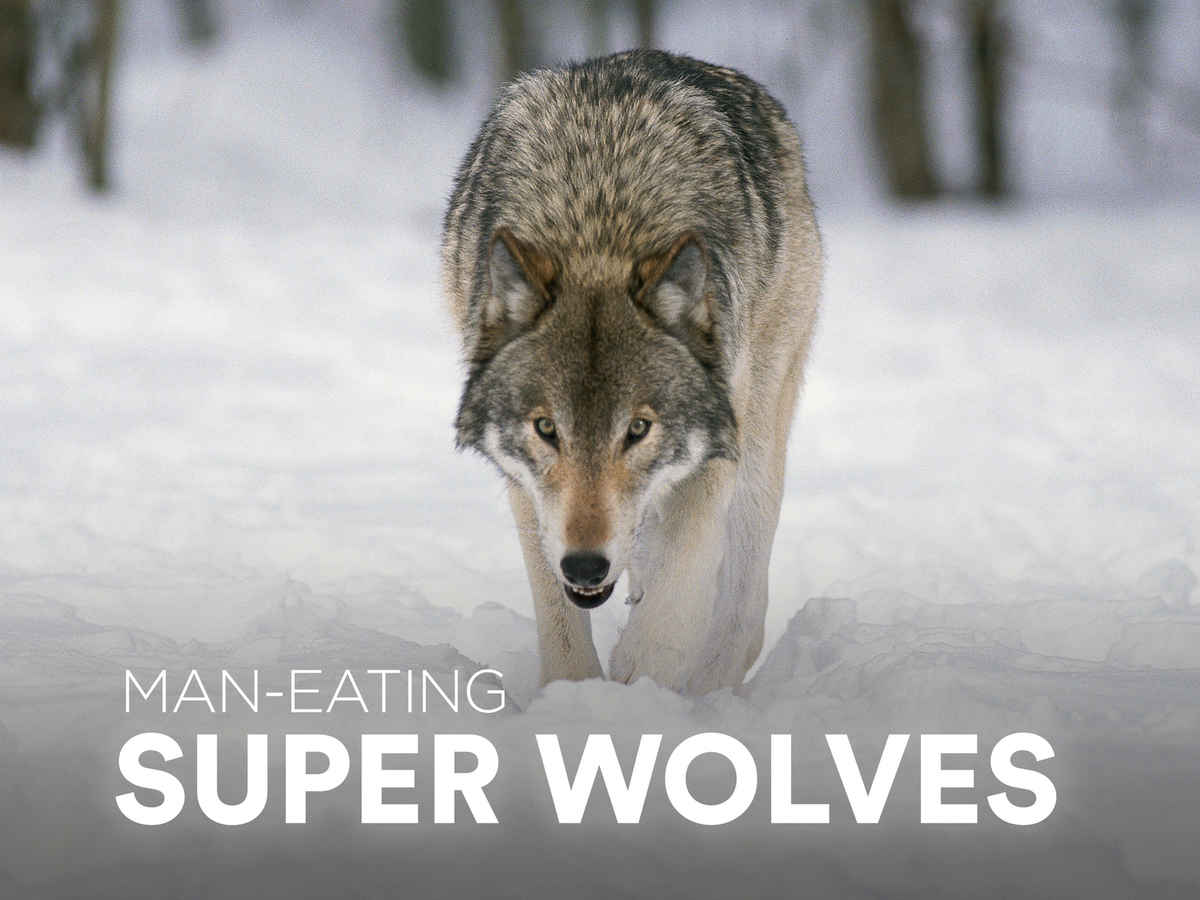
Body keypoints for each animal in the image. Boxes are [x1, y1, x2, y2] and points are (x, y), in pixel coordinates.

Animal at [441, 50, 821, 694]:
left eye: (638, 429)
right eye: (547, 429)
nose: (585, 563)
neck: (600, 222)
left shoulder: (714, 455)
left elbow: (670, 614)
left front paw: (637, 694)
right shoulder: (529, 490)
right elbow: (563, 629)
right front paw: (576, 698)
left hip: (760, 433)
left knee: (742, 610)